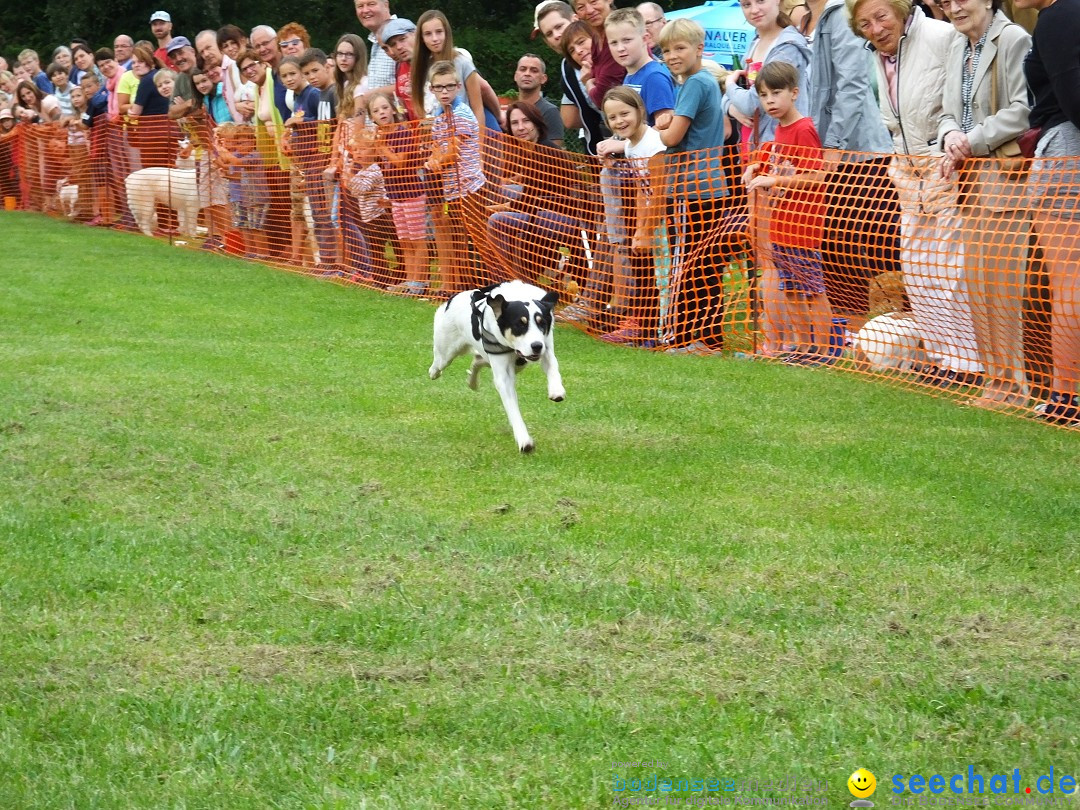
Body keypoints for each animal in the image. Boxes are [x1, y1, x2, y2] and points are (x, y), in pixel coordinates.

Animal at [427, 282, 565, 453]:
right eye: (519, 324)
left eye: (542, 323)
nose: (536, 346)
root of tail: (453, 298)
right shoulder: (504, 374)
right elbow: (512, 408)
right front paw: (524, 440)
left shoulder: (545, 346)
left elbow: (552, 365)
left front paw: (556, 390)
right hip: (446, 351)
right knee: (440, 362)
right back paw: (434, 372)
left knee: (478, 360)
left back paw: (472, 382)